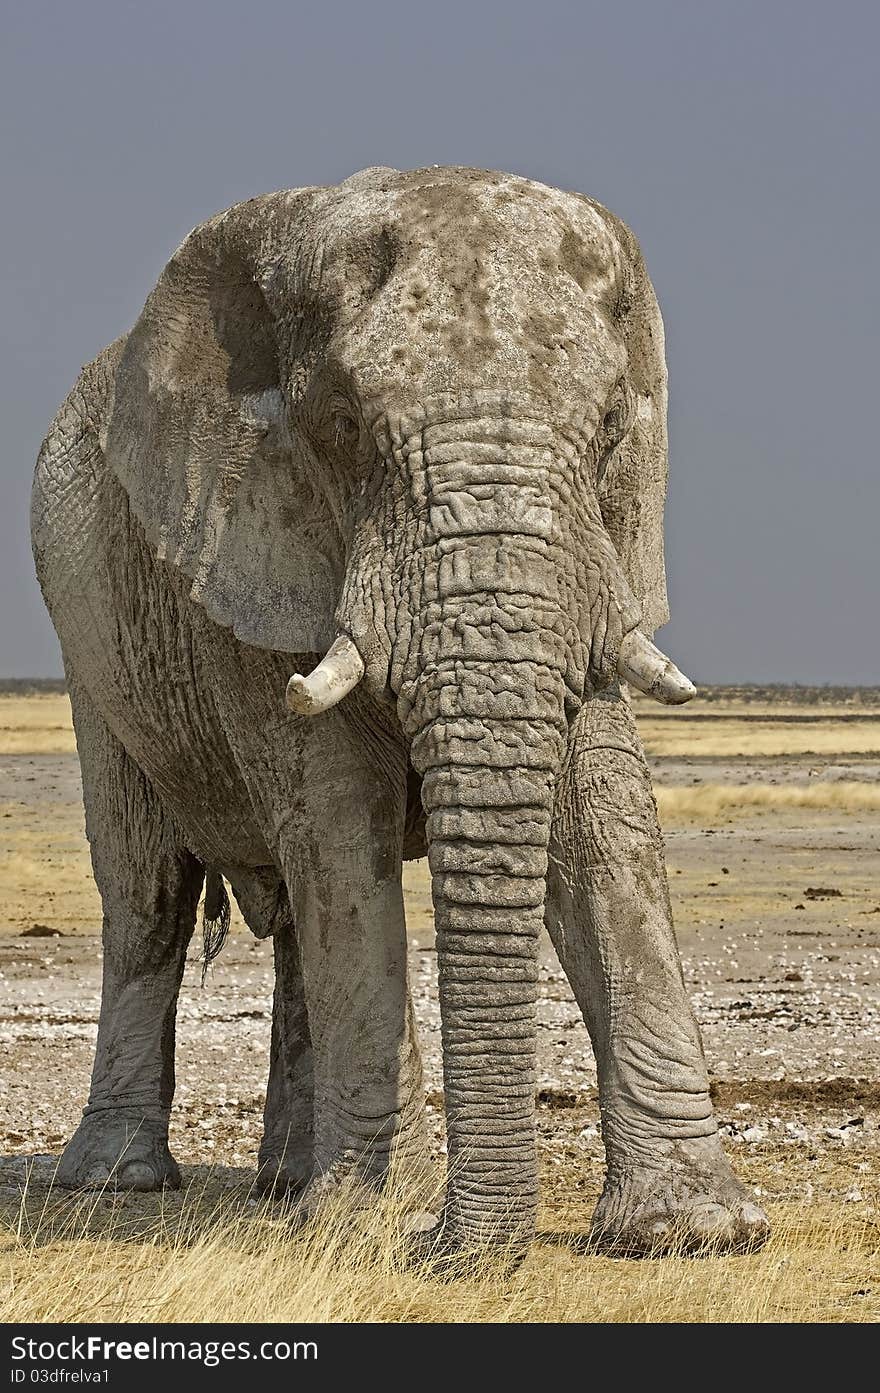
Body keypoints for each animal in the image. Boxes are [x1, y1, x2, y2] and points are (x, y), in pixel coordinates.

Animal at [30, 165, 768, 1264]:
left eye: (606, 429)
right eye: (340, 427)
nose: (444, 1245)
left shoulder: (591, 564)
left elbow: (602, 826)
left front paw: (692, 1233)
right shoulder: (250, 546)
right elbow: (342, 827)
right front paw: (367, 1224)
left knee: (290, 912)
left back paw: (286, 1180)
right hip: (92, 646)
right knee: (150, 892)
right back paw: (123, 1179)